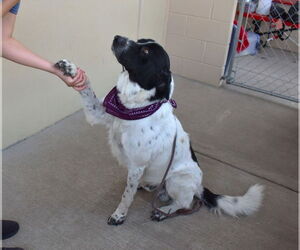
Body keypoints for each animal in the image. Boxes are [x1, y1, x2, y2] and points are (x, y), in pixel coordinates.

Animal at [55, 35, 264, 227]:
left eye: (146, 52)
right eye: (140, 40)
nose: (117, 37)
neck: (133, 107)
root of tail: (200, 187)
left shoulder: (137, 165)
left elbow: (126, 195)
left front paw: (119, 215)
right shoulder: (99, 113)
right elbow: (87, 89)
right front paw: (71, 70)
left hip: (177, 180)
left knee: (185, 203)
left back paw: (164, 211)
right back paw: (149, 186)